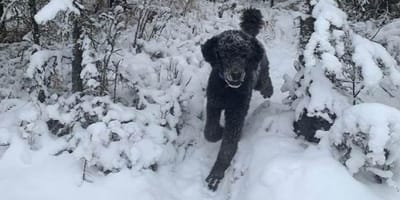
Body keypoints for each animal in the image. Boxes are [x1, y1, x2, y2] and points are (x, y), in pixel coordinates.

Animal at [202, 8, 274, 191]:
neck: (227, 90)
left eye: (244, 55)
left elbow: (227, 147)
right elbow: (210, 132)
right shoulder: (213, 103)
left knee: (265, 80)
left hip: (260, 74)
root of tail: (249, 34)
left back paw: (269, 90)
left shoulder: (236, 113)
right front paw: (219, 132)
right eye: (224, 54)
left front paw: (216, 175)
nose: (236, 74)